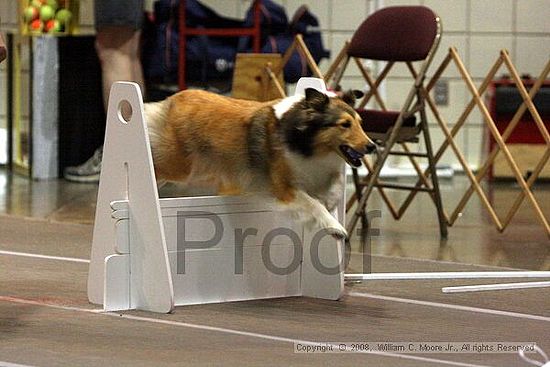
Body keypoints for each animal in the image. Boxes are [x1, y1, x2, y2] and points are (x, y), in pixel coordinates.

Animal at [144, 87, 378, 240]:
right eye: (345, 124)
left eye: (360, 123)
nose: (372, 146)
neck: (304, 142)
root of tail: (171, 100)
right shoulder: (284, 188)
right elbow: (313, 204)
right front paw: (335, 227)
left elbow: (334, 185)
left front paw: (331, 201)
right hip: (177, 167)